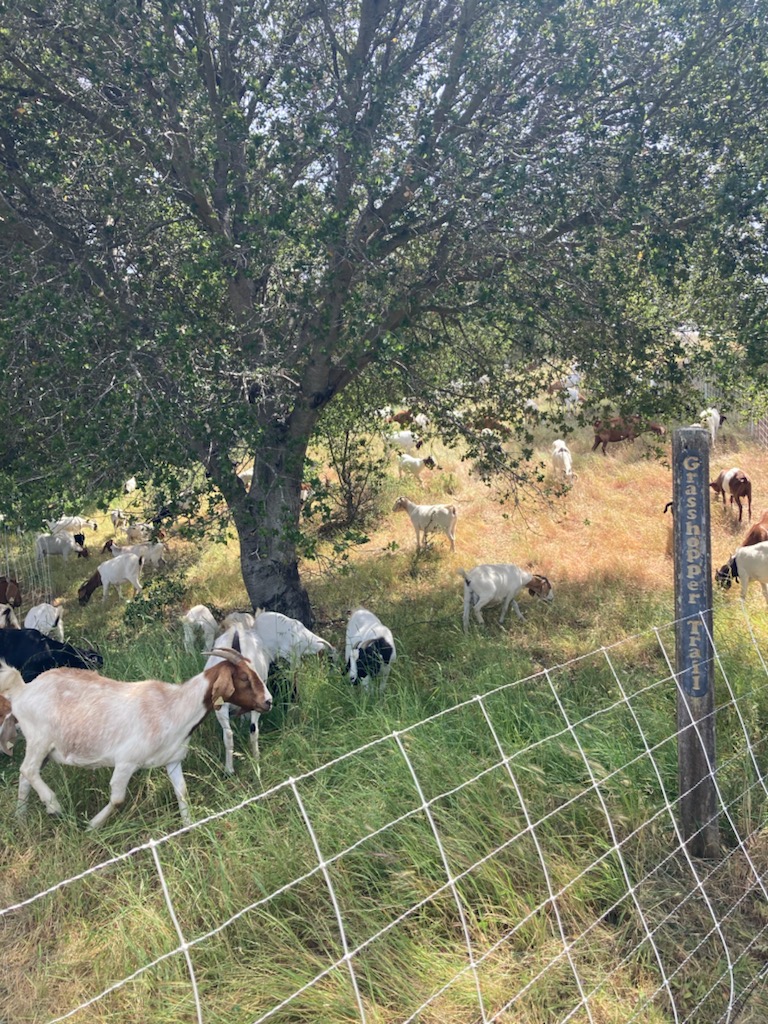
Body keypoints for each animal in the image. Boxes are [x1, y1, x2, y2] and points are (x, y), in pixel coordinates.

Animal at [0, 647, 274, 831]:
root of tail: (22, 691)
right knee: (27, 770)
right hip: (40, 738)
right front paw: (92, 825)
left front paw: (189, 826)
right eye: (244, 678)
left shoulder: (172, 760)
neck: (173, 706)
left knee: (26, 777)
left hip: (44, 748)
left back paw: (21, 819)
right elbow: (118, 798)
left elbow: (182, 792)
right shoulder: (126, 761)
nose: (268, 701)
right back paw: (53, 805)